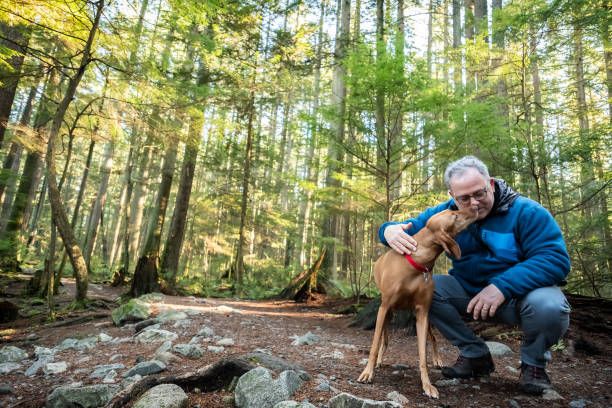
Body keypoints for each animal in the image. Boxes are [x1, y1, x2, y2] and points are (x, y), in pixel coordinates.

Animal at [356, 206, 480, 396]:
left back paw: (437, 360)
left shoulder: (422, 312)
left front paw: (427, 385)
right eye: (455, 215)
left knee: (433, 339)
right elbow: (375, 344)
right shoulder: (384, 308)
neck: (417, 263)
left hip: (426, 319)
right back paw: (378, 361)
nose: (474, 207)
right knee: (384, 338)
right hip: (387, 312)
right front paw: (368, 372)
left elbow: (423, 354)